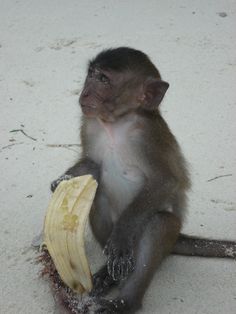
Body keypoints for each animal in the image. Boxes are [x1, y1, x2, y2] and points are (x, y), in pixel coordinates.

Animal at [50, 47, 236, 314]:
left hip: (166, 233)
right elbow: (92, 165)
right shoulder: (89, 124)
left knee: (159, 225)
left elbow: (166, 181)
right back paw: (108, 275)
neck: (115, 124)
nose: (85, 92)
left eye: (104, 79)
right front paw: (64, 180)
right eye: (91, 74)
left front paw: (121, 236)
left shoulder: (148, 136)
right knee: (98, 195)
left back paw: (125, 302)